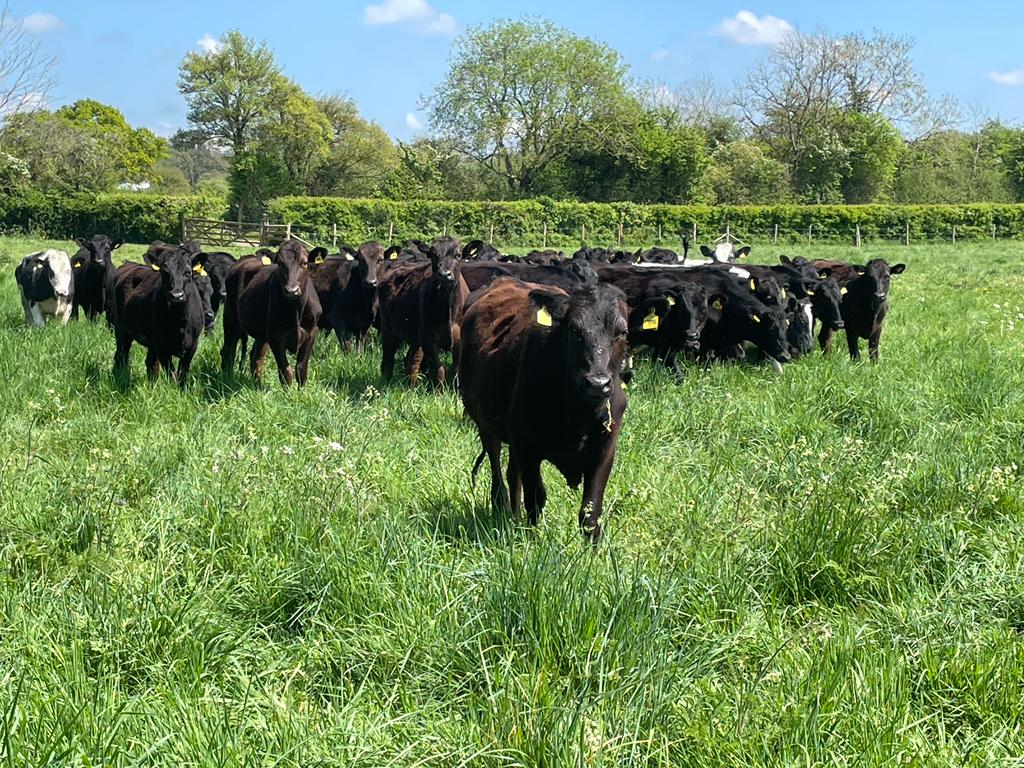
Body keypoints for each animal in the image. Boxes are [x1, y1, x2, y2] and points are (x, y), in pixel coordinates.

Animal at [108, 245, 207, 386]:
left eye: (188, 272)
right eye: (165, 273)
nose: (176, 295)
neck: (180, 322)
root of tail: (129, 264)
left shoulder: (192, 345)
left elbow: (182, 374)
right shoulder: (162, 346)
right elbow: (171, 374)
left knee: (149, 362)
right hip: (121, 329)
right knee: (121, 354)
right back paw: (120, 376)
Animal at [220, 240, 322, 385]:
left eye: (304, 263)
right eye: (279, 263)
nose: (292, 290)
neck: (296, 311)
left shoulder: (311, 333)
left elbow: (301, 370)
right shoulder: (275, 337)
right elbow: (286, 372)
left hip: (261, 334)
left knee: (255, 357)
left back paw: (257, 384)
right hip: (230, 319)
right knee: (228, 350)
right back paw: (226, 378)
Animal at [377, 236, 468, 386]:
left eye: (458, 255)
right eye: (433, 255)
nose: (445, 274)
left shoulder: (459, 340)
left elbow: (457, 370)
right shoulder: (428, 339)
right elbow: (437, 370)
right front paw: (439, 391)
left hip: (415, 338)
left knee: (412, 362)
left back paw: (412, 387)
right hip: (388, 330)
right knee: (388, 359)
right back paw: (386, 383)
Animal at [459, 277, 630, 543]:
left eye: (622, 332)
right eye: (573, 330)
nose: (597, 383)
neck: (578, 414)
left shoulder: (605, 451)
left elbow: (591, 512)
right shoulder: (528, 448)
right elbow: (536, 498)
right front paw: (533, 541)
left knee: (512, 475)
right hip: (485, 423)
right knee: (498, 473)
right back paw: (504, 511)